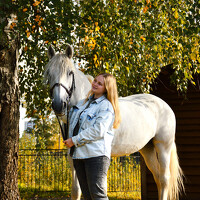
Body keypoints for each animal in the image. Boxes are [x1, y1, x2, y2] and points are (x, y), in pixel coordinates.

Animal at [44, 45, 184, 200]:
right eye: (49, 73)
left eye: (70, 73)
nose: (58, 104)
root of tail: (164, 105)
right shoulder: (73, 158)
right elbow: (76, 190)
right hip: (147, 149)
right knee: (158, 177)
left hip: (163, 146)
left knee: (164, 179)